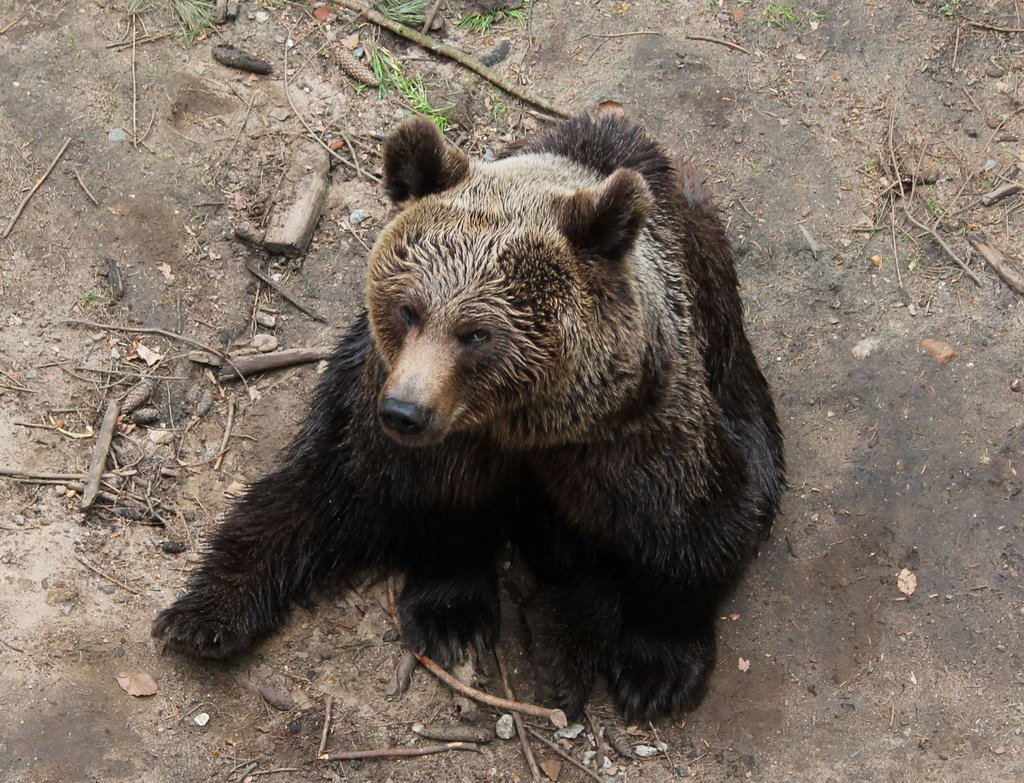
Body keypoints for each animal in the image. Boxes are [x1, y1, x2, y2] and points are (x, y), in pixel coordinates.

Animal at [153, 110, 782, 720]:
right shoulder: (431, 430)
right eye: (408, 309)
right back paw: (204, 615)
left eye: (476, 333)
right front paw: (453, 617)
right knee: (312, 491)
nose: (405, 412)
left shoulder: (634, 428)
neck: (525, 423)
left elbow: (687, 522)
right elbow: (433, 504)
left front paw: (657, 671)